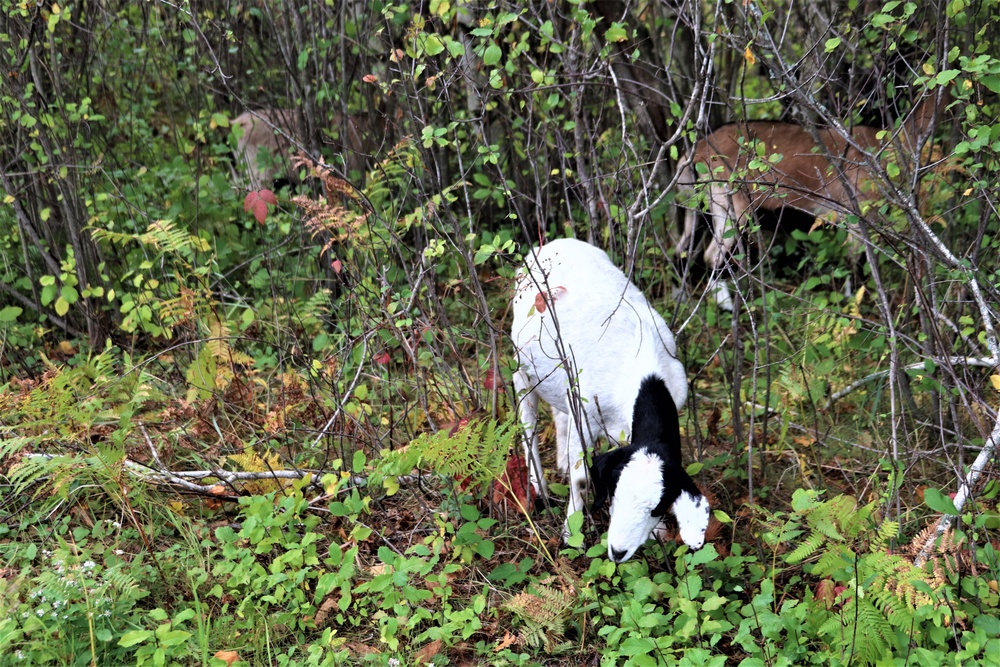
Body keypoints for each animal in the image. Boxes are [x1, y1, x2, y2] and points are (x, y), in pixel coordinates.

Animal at [508, 237, 712, 560]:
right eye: (614, 492)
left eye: (657, 506)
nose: (617, 551)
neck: (642, 369)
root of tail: (555, 242)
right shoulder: (586, 414)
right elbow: (581, 479)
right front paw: (572, 535)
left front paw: (657, 532)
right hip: (522, 370)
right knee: (528, 424)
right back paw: (538, 486)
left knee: (560, 413)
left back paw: (561, 461)